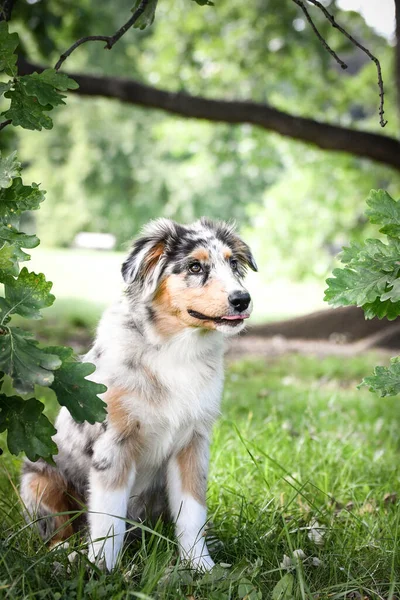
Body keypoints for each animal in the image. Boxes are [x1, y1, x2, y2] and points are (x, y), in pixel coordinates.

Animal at [19, 217, 256, 572]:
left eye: (233, 264)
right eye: (195, 266)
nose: (243, 299)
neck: (174, 350)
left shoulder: (193, 444)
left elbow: (192, 512)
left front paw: (201, 566)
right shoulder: (114, 445)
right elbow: (108, 520)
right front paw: (101, 569)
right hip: (38, 482)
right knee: (56, 529)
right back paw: (65, 552)